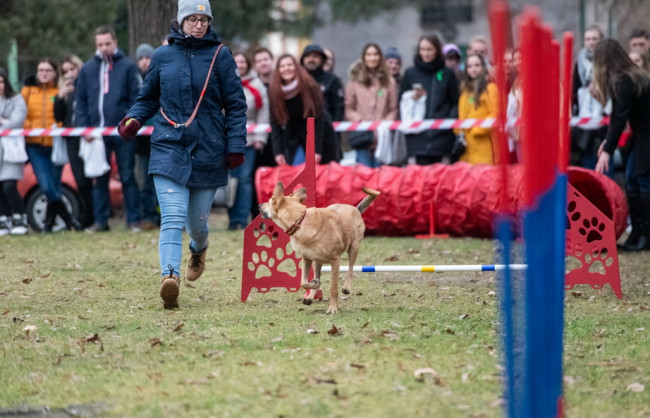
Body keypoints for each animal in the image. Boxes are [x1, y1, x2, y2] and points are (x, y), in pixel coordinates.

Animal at [260, 181, 380, 312]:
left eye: (270, 200)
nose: (260, 205)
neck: (299, 220)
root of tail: (355, 208)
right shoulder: (306, 258)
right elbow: (303, 282)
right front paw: (315, 284)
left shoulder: (335, 261)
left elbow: (333, 288)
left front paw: (333, 308)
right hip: (317, 261)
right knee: (318, 274)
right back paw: (310, 296)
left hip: (354, 248)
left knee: (350, 269)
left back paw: (347, 287)